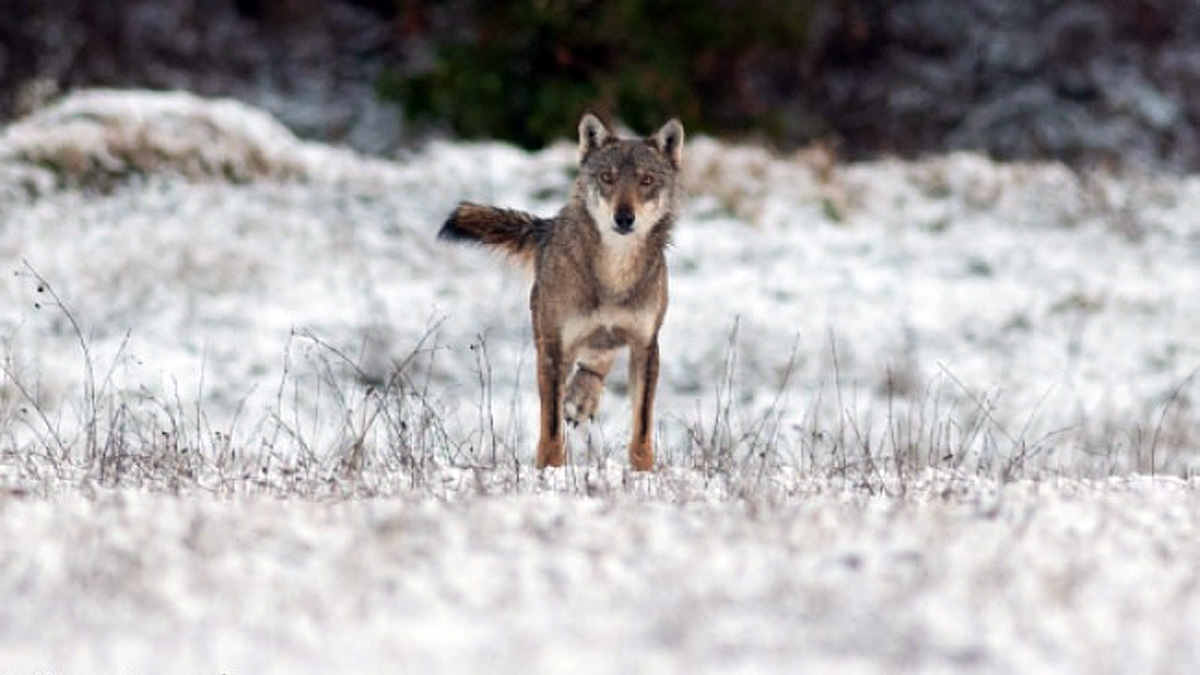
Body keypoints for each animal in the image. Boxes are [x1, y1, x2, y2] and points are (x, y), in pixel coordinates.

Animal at [441, 111, 686, 468]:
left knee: (598, 359)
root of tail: (550, 226)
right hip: (547, 335)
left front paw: (644, 471)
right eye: (607, 178)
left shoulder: (646, 345)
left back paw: (581, 399)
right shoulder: (555, 347)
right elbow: (552, 425)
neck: (614, 273)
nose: (624, 218)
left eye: (646, 180)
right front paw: (550, 468)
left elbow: (642, 425)